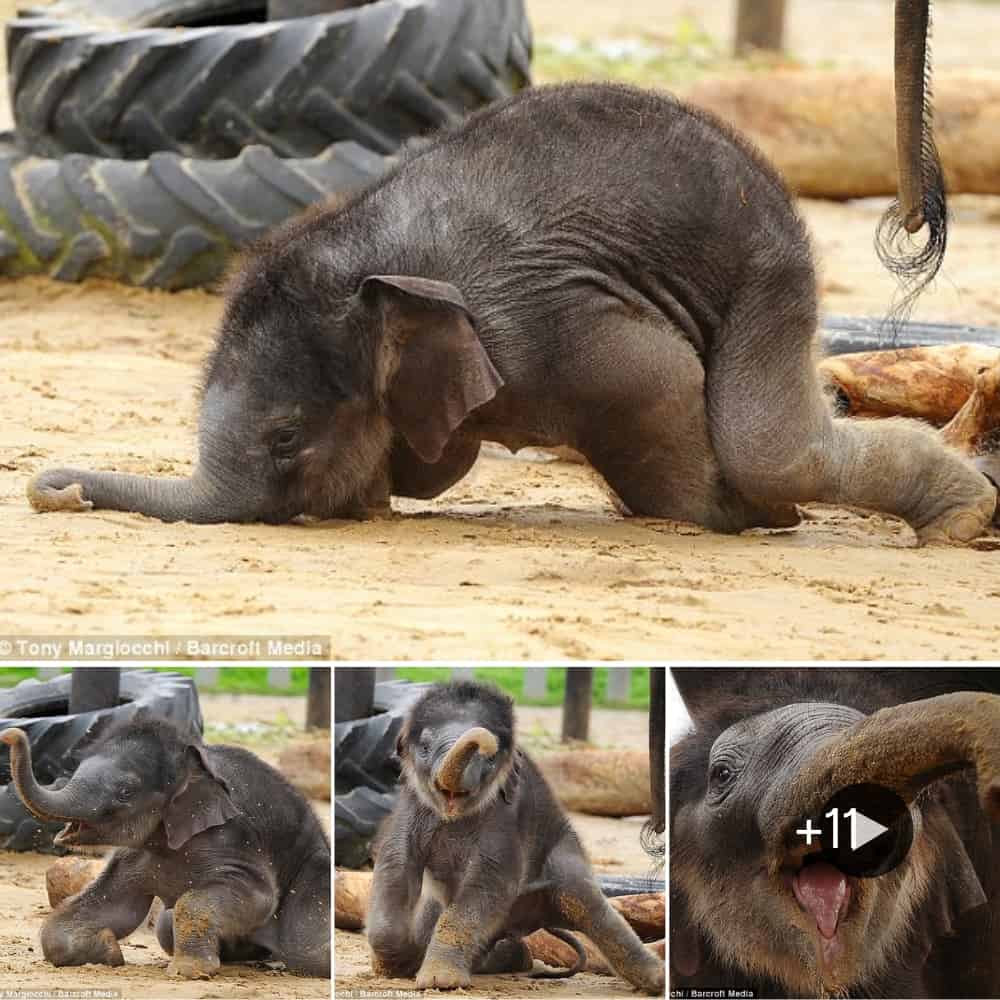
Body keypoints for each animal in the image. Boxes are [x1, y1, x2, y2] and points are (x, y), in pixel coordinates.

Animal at [0, 715, 330, 979]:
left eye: (125, 792)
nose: (9, 733)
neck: (191, 759)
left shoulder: (234, 840)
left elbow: (258, 898)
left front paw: (189, 972)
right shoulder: (133, 857)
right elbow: (115, 907)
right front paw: (109, 950)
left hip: (316, 868)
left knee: (309, 953)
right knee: (164, 926)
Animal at [28, 81, 995, 543]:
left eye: (284, 439)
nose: (50, 491)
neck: (371, 252)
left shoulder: (551, 321)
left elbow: (657, 381)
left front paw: (732, 515)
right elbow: (440, 460)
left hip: (769, 272)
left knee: (769, 443)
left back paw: (958, 520)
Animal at [366, 680, 664, 993]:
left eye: (491, 758)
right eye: (424, 747)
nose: (487, 740)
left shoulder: (506, 818)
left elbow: (489, 882)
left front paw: (440, 981)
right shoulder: (410, 808)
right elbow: (396, 864)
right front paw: (394, 968)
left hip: (563, 854)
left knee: (589, 906)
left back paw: (655, 979)